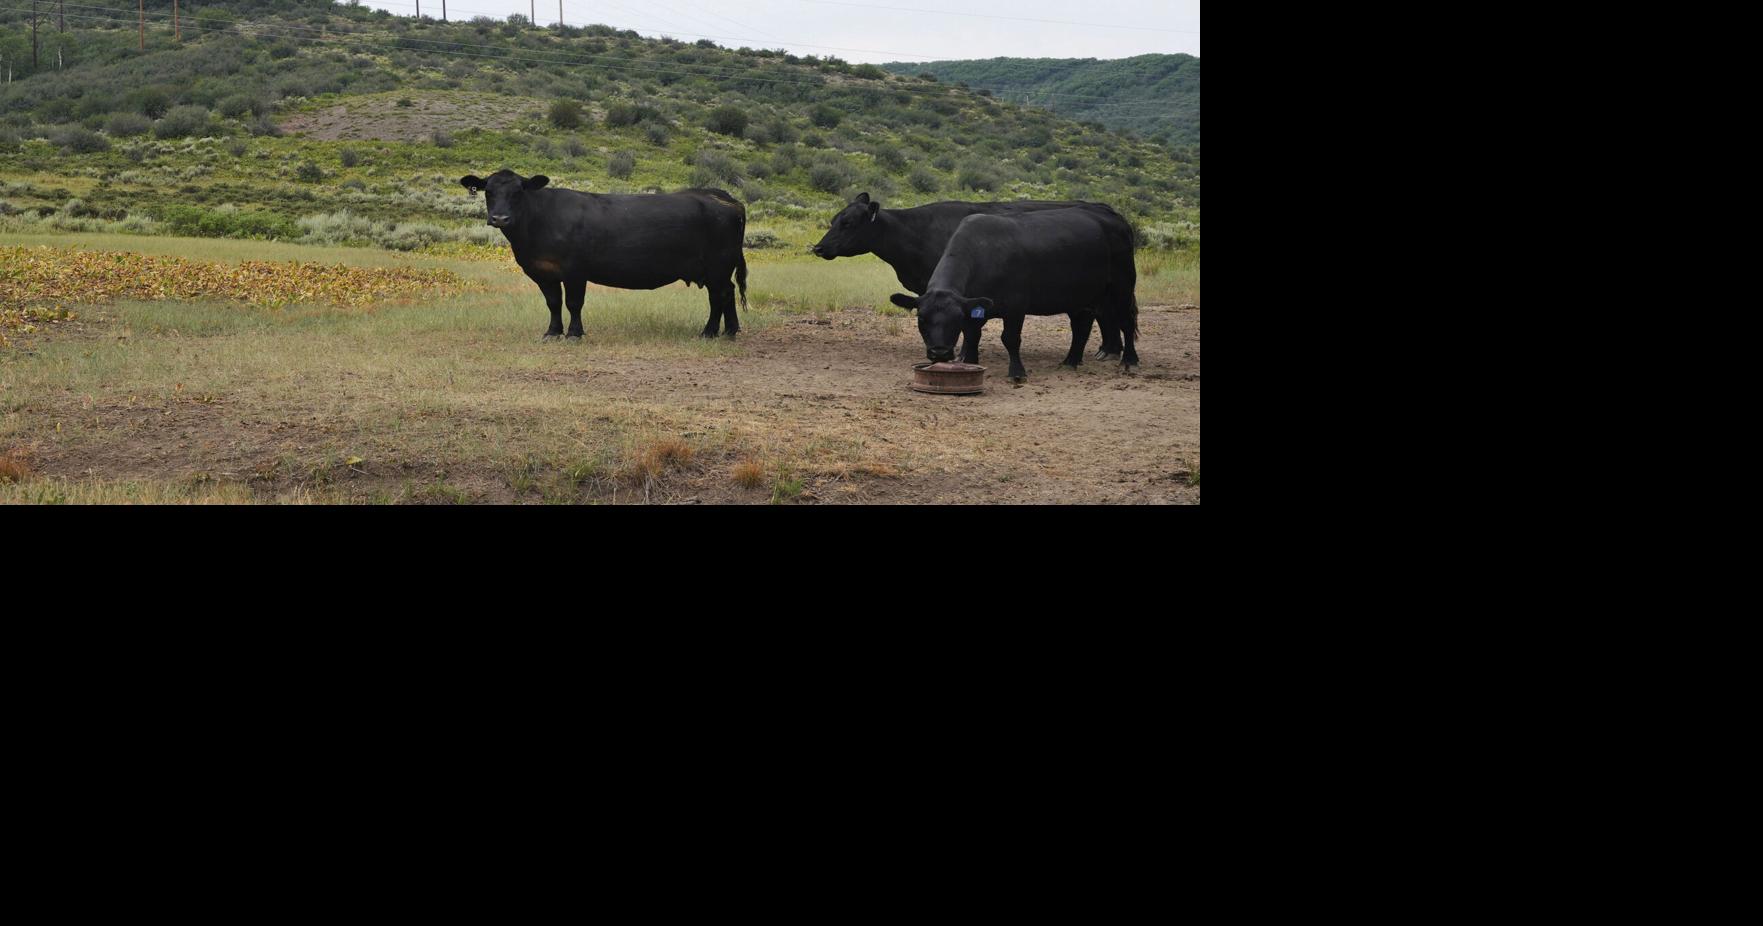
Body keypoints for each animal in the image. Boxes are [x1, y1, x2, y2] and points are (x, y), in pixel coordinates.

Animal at [459, 169, 748, 340]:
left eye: (518, 192)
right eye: (488, 191)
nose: (500, 218)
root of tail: (724, 197)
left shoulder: (575, 271)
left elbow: (573, 303)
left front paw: (574, 334)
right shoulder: (543, 272)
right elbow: (553, 303)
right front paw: (552, 332)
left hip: (717, 266)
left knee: (719, 296)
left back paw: (709, 332)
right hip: (716, 269)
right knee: (728, 293)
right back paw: (730, 331)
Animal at [812, 193, 1125, 361]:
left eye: (848, 222)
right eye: (834, 220)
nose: (818, 247)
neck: (916, 233)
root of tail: (1106, 209)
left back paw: (1111, 351)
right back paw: (1109, 350)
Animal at [889, 207, 1139, 384]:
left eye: (955, 320)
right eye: (921, 319)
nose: (939, 352)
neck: (984, 254)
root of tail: (1116, 220)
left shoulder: (1015, 307)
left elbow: (1010, 339)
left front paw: (1017, 372)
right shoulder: (973, 308)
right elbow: (972, 337)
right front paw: (969, 361)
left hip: (1122, 287)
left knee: (1126, 321)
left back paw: (1130, 360)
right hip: (1080, 297)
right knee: (1081, 326)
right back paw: (1070, 361)